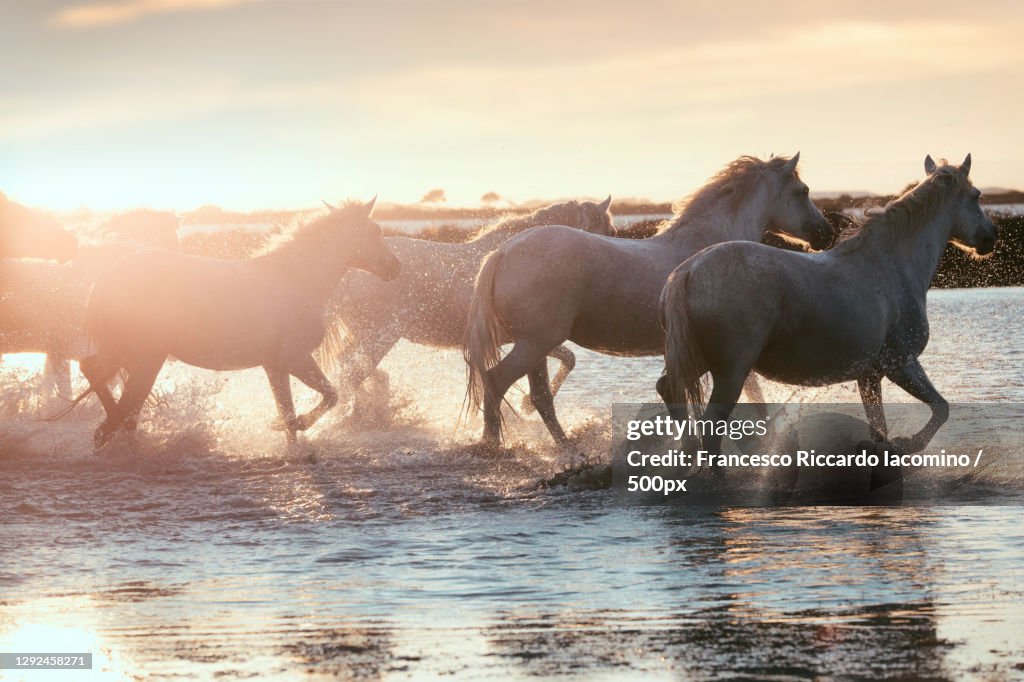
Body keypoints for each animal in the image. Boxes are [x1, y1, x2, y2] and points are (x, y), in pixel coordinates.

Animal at [76, 196, 399, 446]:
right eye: (375, 231)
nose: (395, 267)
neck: (295, 280)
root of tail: (104, 279)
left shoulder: (276, 366)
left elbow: (292, 411)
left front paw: (290, 436)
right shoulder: (295, 359)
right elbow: (328, 397)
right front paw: (294, 427)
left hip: (129, 356)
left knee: (97, 374)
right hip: (146, 359)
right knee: (124, 400)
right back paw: (112, 432)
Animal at [331, 196, 610, 409]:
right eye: (609, 234)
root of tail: (348, 272)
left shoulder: (522, 339)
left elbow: (568, 358)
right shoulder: (531, 337)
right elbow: (569, 358)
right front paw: (527, 406)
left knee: (347, 366)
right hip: (380, 336)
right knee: (351, 374)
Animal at [468, 152, 835, 446]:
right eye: (803, 191)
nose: (826, 233)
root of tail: (502, 252)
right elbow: (752, 396)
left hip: (536, 346)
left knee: (539, 397)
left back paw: (565, 449)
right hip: (535, 343)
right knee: (497, 382)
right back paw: (494, 447)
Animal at [659, 154, 995, 462]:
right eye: (976, 195)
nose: (990, 237)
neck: (891, 264)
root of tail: (686, 272)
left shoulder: (870, 376)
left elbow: (880, 430)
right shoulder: (902, 364)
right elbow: (941, 409)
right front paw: (907, 445)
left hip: (703, 361)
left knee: (670, 393)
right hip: (731, 371)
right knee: (710, 427)